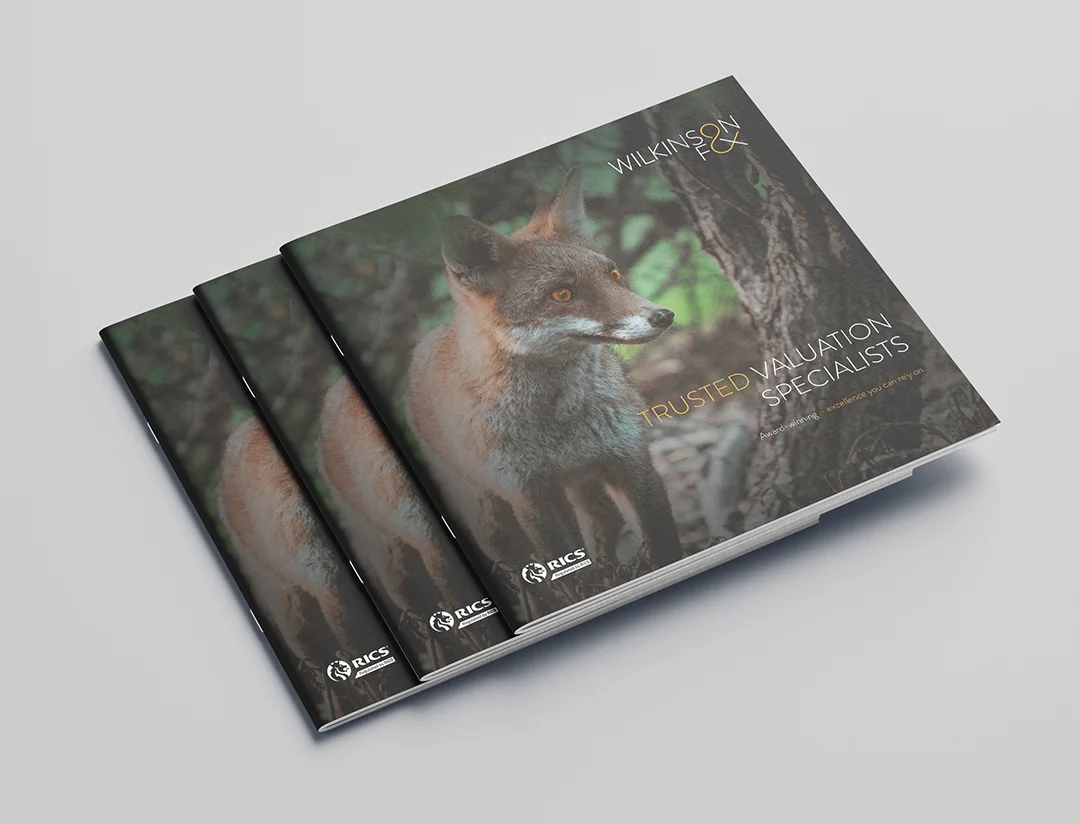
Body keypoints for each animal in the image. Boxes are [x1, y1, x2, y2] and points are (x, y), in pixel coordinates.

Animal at [405, 167, 682, 591]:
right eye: (562, 294)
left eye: (614, 274)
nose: (663, 316)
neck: (560, 420)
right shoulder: (529, 496)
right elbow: (564, 567)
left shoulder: (631, 460)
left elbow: (664, 540)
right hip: (493, 519)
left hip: (586, 488)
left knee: (604, 527)